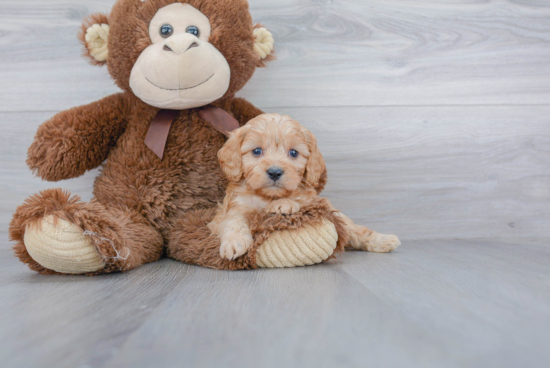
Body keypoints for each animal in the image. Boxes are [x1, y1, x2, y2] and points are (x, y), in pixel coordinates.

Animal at [209, 113, 404, 260]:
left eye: (293, 153)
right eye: (256, 151)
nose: (274, 172)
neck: (268, 196)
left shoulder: (315, 201)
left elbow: (301, 201)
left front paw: (283, 204)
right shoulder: (232, 208)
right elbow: (234, 220)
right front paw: (235, 242)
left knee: (355, 229)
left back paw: (383, 240)